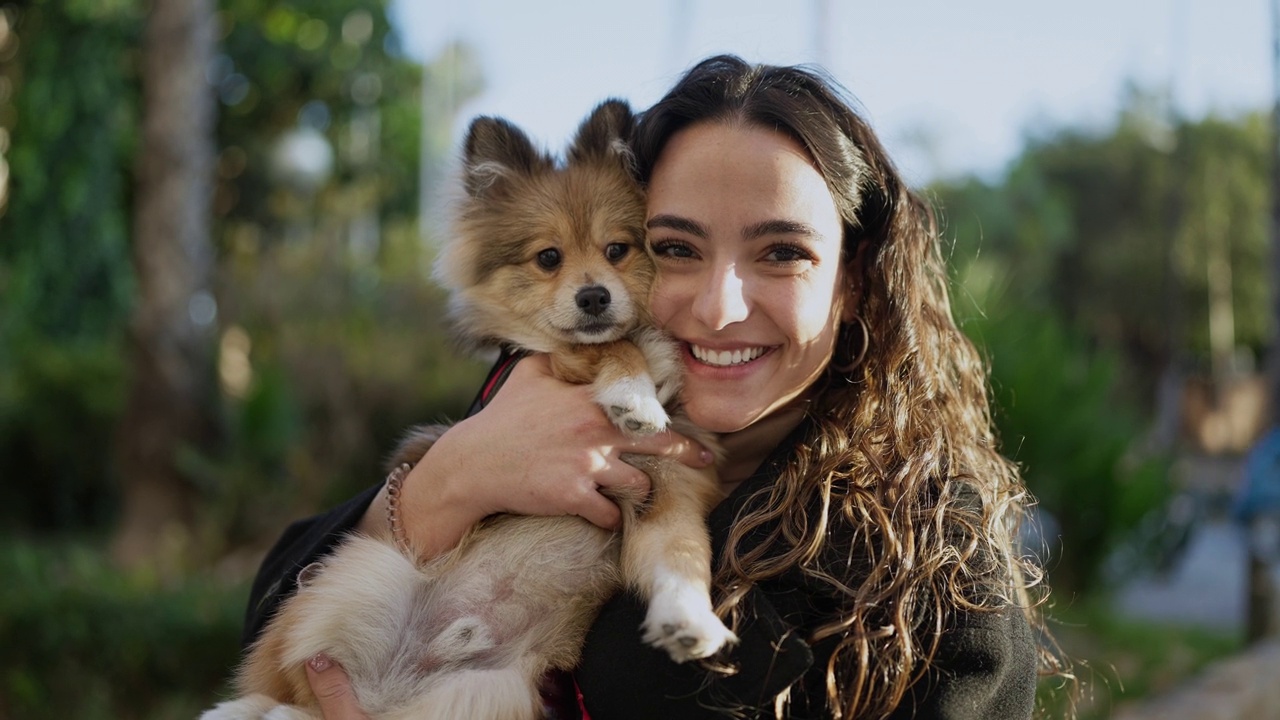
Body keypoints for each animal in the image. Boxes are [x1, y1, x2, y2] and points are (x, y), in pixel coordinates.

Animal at [204, 101, 737, 717]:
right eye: (548, 258)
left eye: (618, 250)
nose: (593, 296)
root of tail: (388, 685)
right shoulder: (554, 361)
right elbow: (610, 346)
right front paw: (635, 395)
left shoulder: (669, 490)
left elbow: (682, 557)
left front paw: (690, 622)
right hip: (360, 568)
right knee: (282, 693)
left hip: (488, 691)